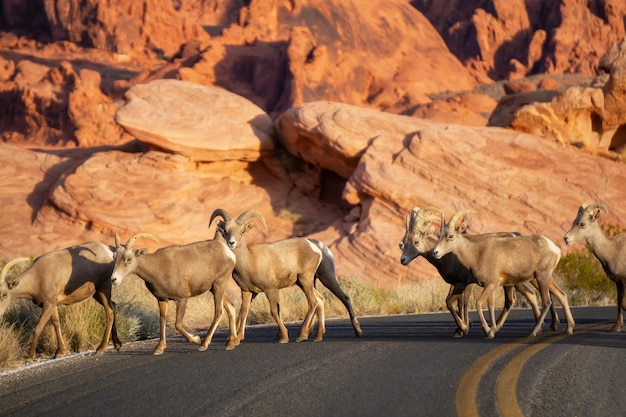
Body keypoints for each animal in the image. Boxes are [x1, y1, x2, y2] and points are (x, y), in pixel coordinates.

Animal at [208, 207, 360, 342]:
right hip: (305, 282)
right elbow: (243, 311)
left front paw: (284, 337)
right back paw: (317, 336)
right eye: (226, 231)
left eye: (242, 231)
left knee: (320, 301)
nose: (231, 243)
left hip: (315, 279)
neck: (249, 260)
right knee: (320, 300)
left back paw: (303, 335)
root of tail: (315, 247)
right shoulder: (247, 291)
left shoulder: (271, 289)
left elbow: (274, 311)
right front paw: (238, 338)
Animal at [432, 210, 572, 336]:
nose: (435, 252)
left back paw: (534, 331)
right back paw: (569, 328)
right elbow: (490, 305)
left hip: (541, 277)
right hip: (545, 278)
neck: (476, 254)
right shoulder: (488, 286)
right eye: (439, 235)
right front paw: (492, 329)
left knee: (546, 302)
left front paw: (488, 331)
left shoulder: (490, 285)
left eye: (450, 236)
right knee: (561, 295)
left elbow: (479, 304)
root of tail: (554, 248)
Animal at [560, 202, 624, 332]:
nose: (566, 238)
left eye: (582, 224)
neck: (613, 250)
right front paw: (616, 327)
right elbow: (620, 302)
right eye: (574, 221)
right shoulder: (618, 282)